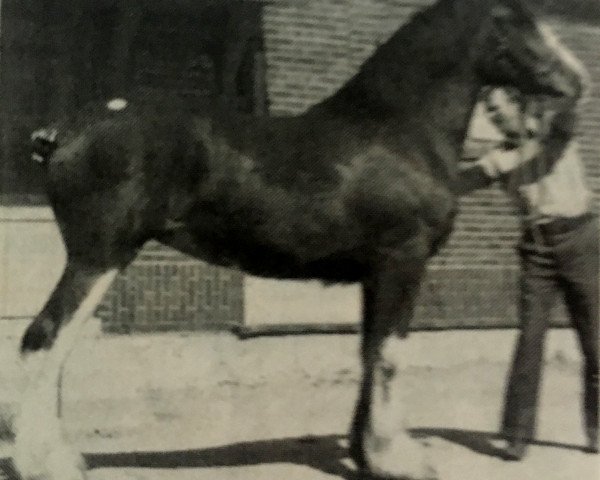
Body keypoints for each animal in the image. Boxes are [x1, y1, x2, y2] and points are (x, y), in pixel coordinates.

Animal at [15, 0, 584, 480]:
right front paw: (399, 460)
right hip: (98, 258)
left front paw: (365, 455)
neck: (397, 130)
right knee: (44, 339)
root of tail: (62, 131)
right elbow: (391, 355)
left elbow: (369, 352)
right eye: (521, 22)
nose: (576, 81)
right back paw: (45, 463)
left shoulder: (375, 274)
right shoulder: (403, 261)